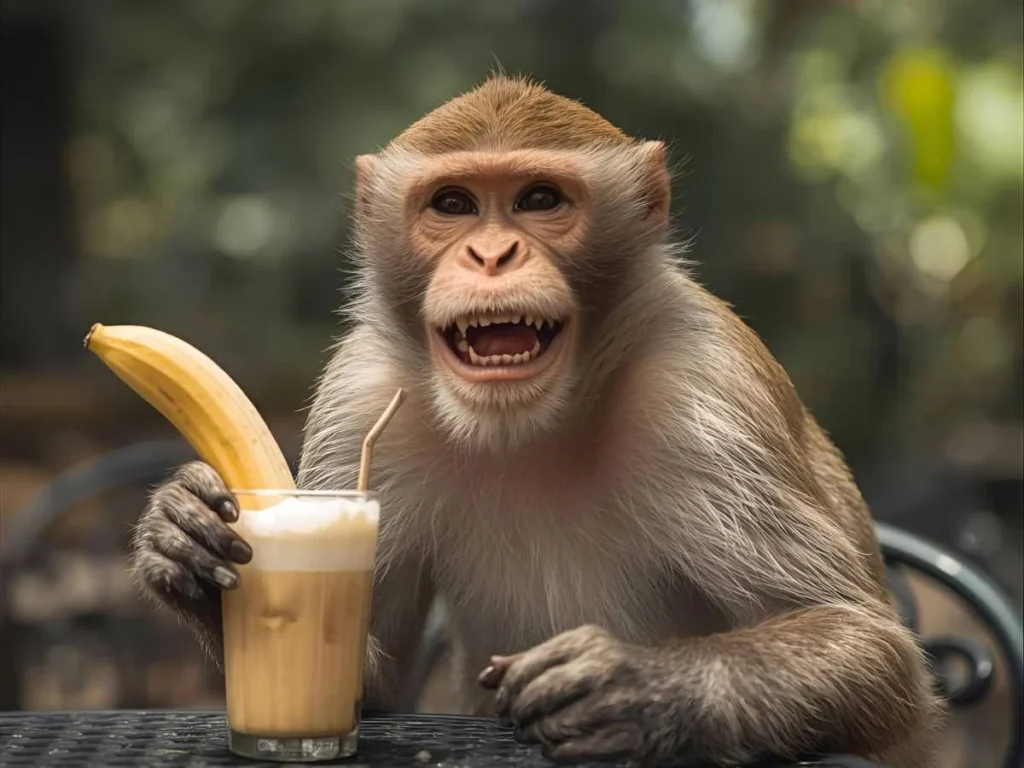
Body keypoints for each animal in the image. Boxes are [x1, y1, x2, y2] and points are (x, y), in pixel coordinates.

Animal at [130, 75, 943, 767]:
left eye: (540, 198)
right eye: (453, 204)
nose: (493, 253)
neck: (530, 427)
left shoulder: (707, 391)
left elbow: (870, 646)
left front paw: (639, 688)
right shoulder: (361, 394)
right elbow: (372, 681)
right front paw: (187, 541)